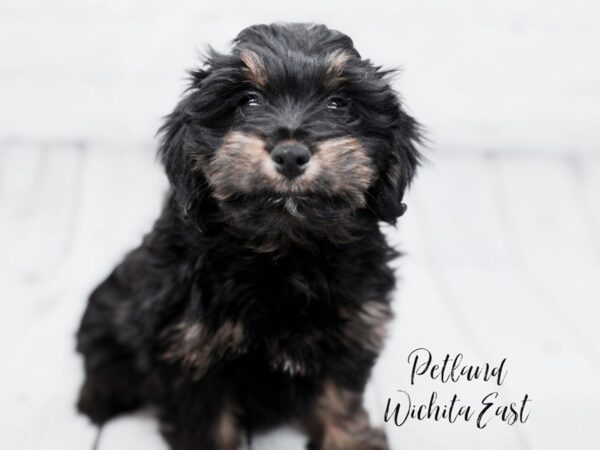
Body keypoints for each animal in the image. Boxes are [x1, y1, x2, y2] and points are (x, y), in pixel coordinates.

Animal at [76, 22, 422, 450]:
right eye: (250, 101)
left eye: (338, 104)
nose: (290, 155)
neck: (285, 252)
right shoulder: (188, 349)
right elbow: (207, 424)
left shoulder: (354, 328)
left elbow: (338, 396)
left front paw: (350, 440)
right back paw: (97, 400)